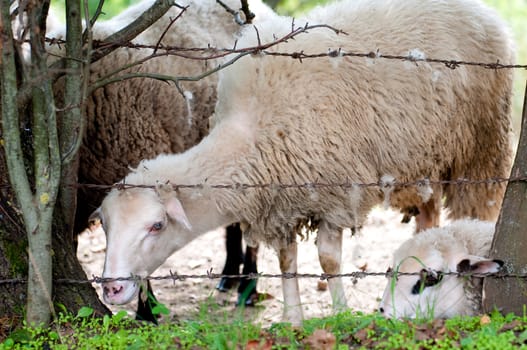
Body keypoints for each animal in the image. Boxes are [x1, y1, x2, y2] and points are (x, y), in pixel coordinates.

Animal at [92, 0, 516, 326]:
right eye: (107, 226)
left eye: (157, 225)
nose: (112, 288)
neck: (251, 132)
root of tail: (482, 10)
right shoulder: (282, 200)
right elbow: (287, 261)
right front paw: (292, 318)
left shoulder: (334, 194)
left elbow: (327, 261)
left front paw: (341, 312)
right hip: (425, 158)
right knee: (429, 215)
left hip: (481, 148)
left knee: (476, 207)